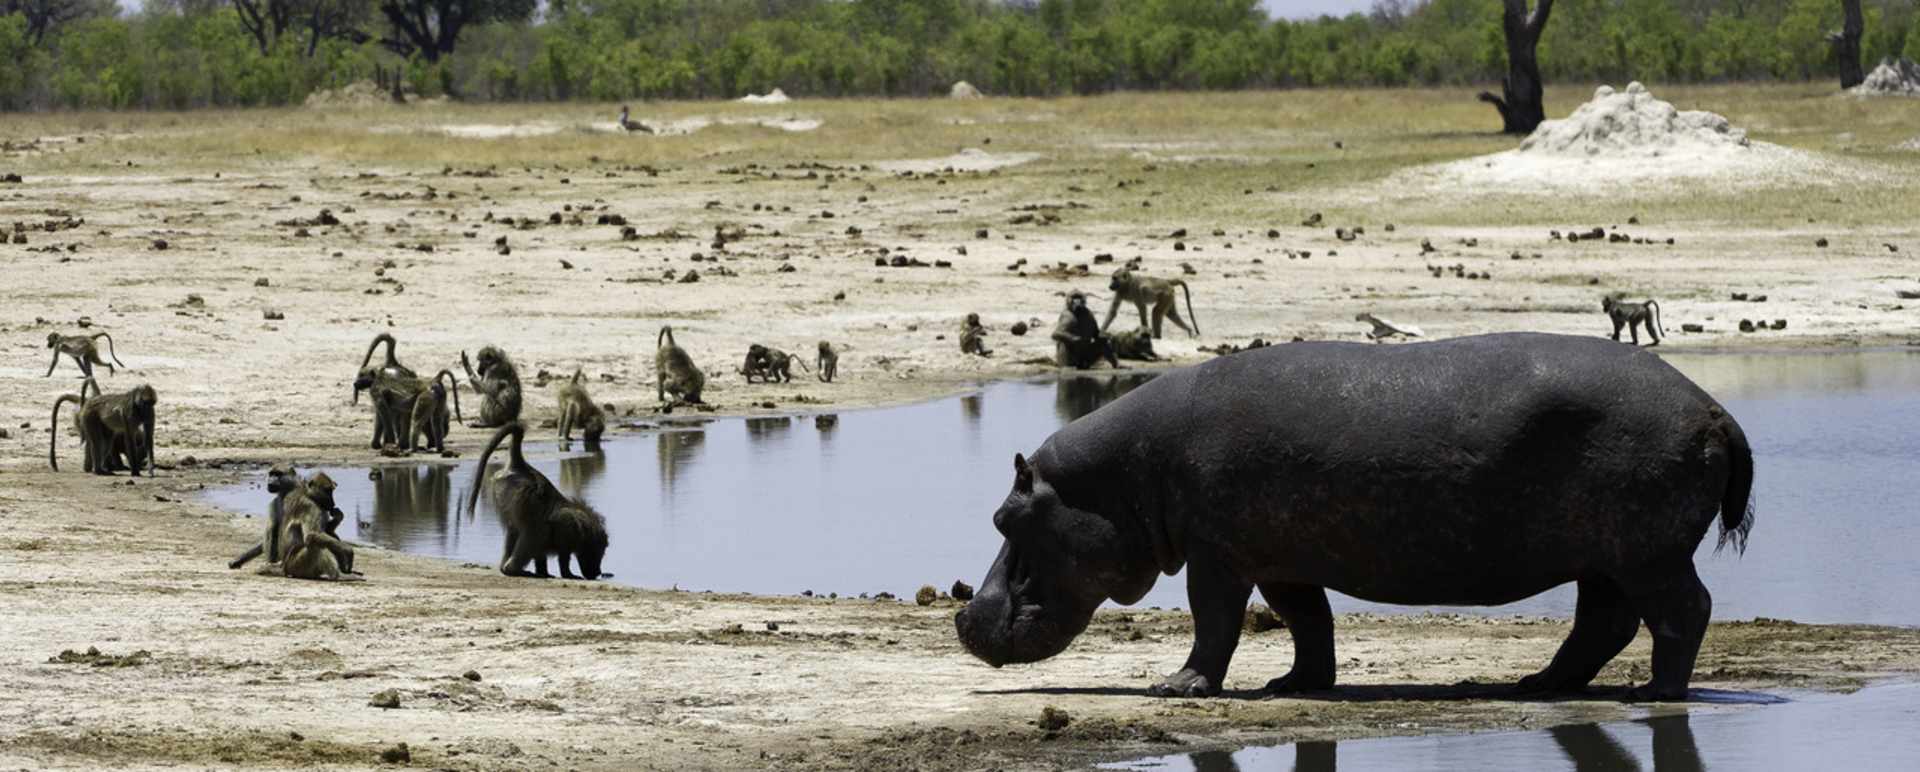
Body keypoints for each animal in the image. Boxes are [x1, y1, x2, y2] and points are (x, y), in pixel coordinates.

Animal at [466, 423, 610, 580]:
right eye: (599, 552)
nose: (597, 573)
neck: (583, 527)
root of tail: (520, 466)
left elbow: (541, 555)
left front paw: (544, 572)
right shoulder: (567, 534)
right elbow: (562, 557)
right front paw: (569, 574)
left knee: (514, 530)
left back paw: (506, 569)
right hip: (523, 495)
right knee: (535, 532)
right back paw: (514, 570)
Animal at [955, 333, 1753, 702]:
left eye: (1004, 519)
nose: (964, 618)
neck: (1123, 478)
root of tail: (1713, 407)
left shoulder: (1219, 556)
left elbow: (1214, 621)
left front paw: (1176, 689)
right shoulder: (1279, 559)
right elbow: (1308, 622)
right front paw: (1293, 687)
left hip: (1646, 554)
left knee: (1683, 610)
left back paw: (1655, 693)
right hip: (1607, 556)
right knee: (1604, 622)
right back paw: (1538, 684)